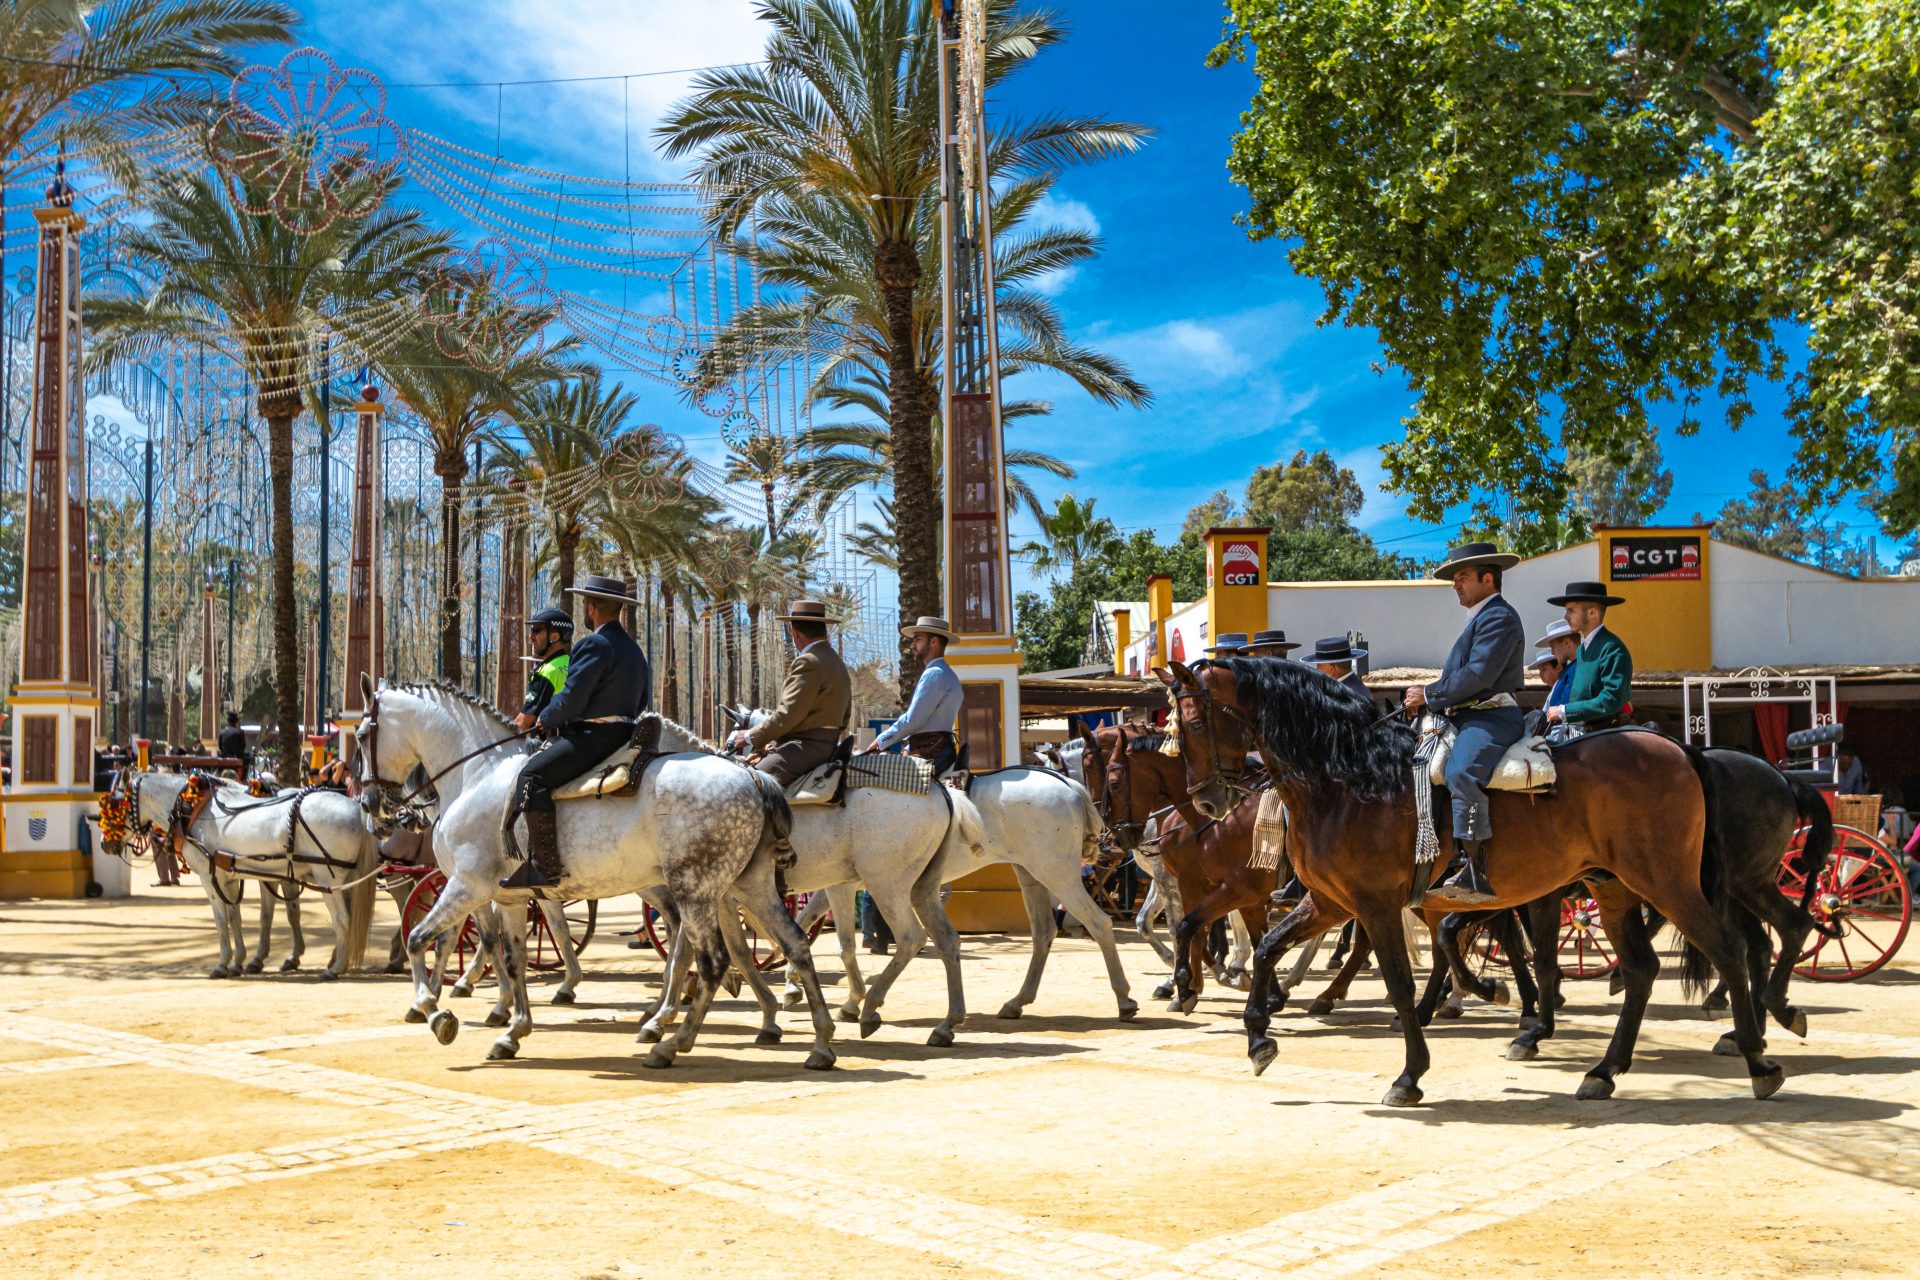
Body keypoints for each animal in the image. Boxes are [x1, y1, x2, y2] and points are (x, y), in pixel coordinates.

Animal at [106, 771, 378, 982]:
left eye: (114, 804)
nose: (104, 845)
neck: (192, 808)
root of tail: (358, 809)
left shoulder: (210, 878)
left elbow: (221, 920)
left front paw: (222, 963)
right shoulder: (231, 877)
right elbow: (236, 918)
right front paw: (239, 961)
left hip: (328, 879)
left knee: (342, 919)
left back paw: (335, 968)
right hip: (345, 878)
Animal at [353, 679, 833, 1074]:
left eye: (359, 735)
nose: (370, 806)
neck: (478, 775)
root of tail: (751, 775)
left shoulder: (468, 885)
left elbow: (421, 938)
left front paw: (434, 1012)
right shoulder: (508, 897)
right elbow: (511, 957)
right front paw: (512, 1030)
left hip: (694, 889)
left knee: (712, 958)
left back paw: (670, 1041)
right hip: (746, 886)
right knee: (793, 943)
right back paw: (818, 1041)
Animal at [1152, 656, 1781, 1105]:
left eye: (1194, 721)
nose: (1206, 802)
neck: (1347, 779)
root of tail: (1678, 747)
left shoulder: (1375, 907)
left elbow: (1400, 983)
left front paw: (1411, 1073)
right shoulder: (1331, 903)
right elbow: (1266, 948)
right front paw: (1259, 1037)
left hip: (1667, 883)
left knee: (1728, 947)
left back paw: (1757, 1059)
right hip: (1615, 887)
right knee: (1644, 969)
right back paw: (1604, 1071)